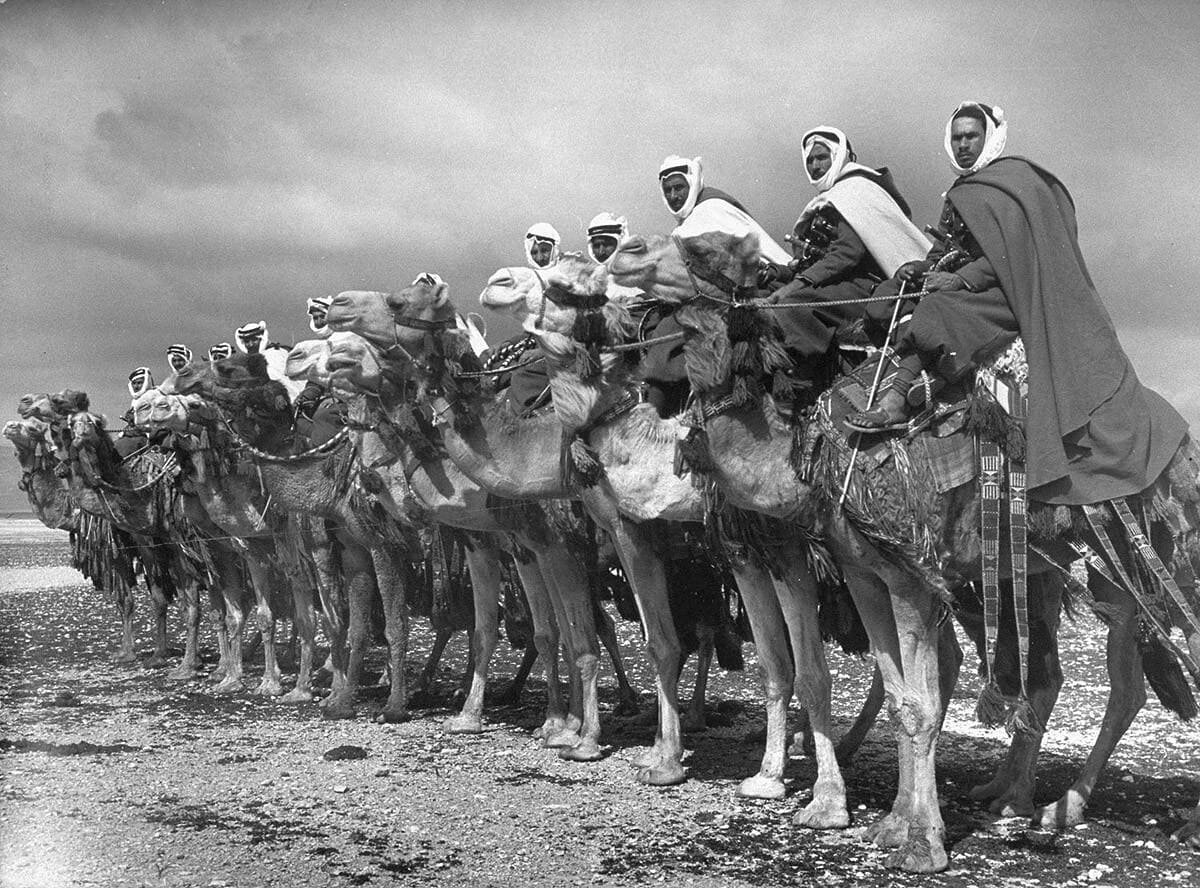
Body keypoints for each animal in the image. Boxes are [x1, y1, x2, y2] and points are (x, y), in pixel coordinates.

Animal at [609, 229, 1200, 859]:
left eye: (707, 248)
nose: (622, 251)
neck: (806, 456)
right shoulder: (864, 571)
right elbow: (900, 698)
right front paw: (895, 823)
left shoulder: (910, 573)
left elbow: (920, 703)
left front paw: (920, 843)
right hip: (1079, 567)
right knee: (1101, 681)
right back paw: (1029, 800)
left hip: (1163, 548)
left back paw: (1123, 812)